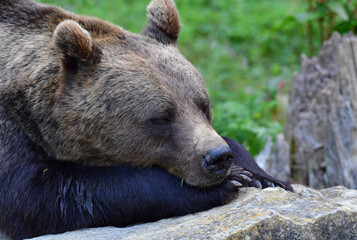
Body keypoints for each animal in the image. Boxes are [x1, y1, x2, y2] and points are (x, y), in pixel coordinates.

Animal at [0, 0, 292, 240]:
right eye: (161, 117)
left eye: (204, 104)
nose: (218, 158)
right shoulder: (10, 131)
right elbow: (36, 194)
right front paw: (228, 182)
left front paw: (265, 177)